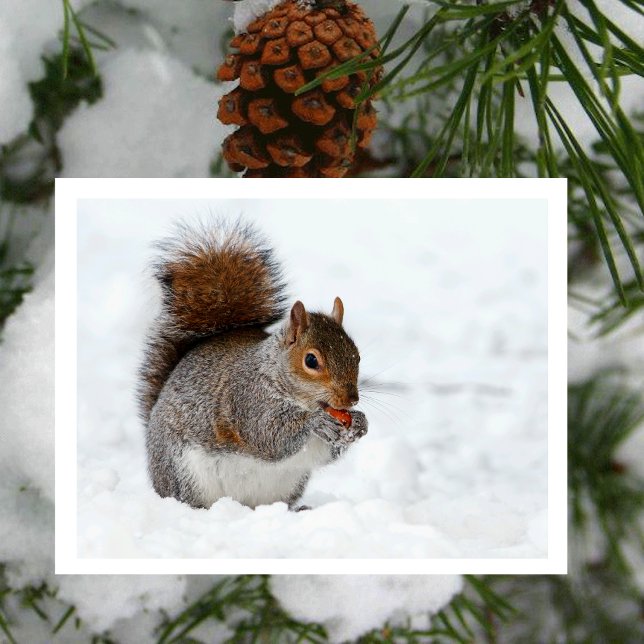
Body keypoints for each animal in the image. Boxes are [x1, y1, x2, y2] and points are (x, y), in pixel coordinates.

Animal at [138, 220, 367, 510]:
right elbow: (268, 435)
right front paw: (316, 422)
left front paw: (360, 423)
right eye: (311, 360)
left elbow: (326, 453)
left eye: (357, 356)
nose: (351, 400)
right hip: (183, 473)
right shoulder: (247, 398)